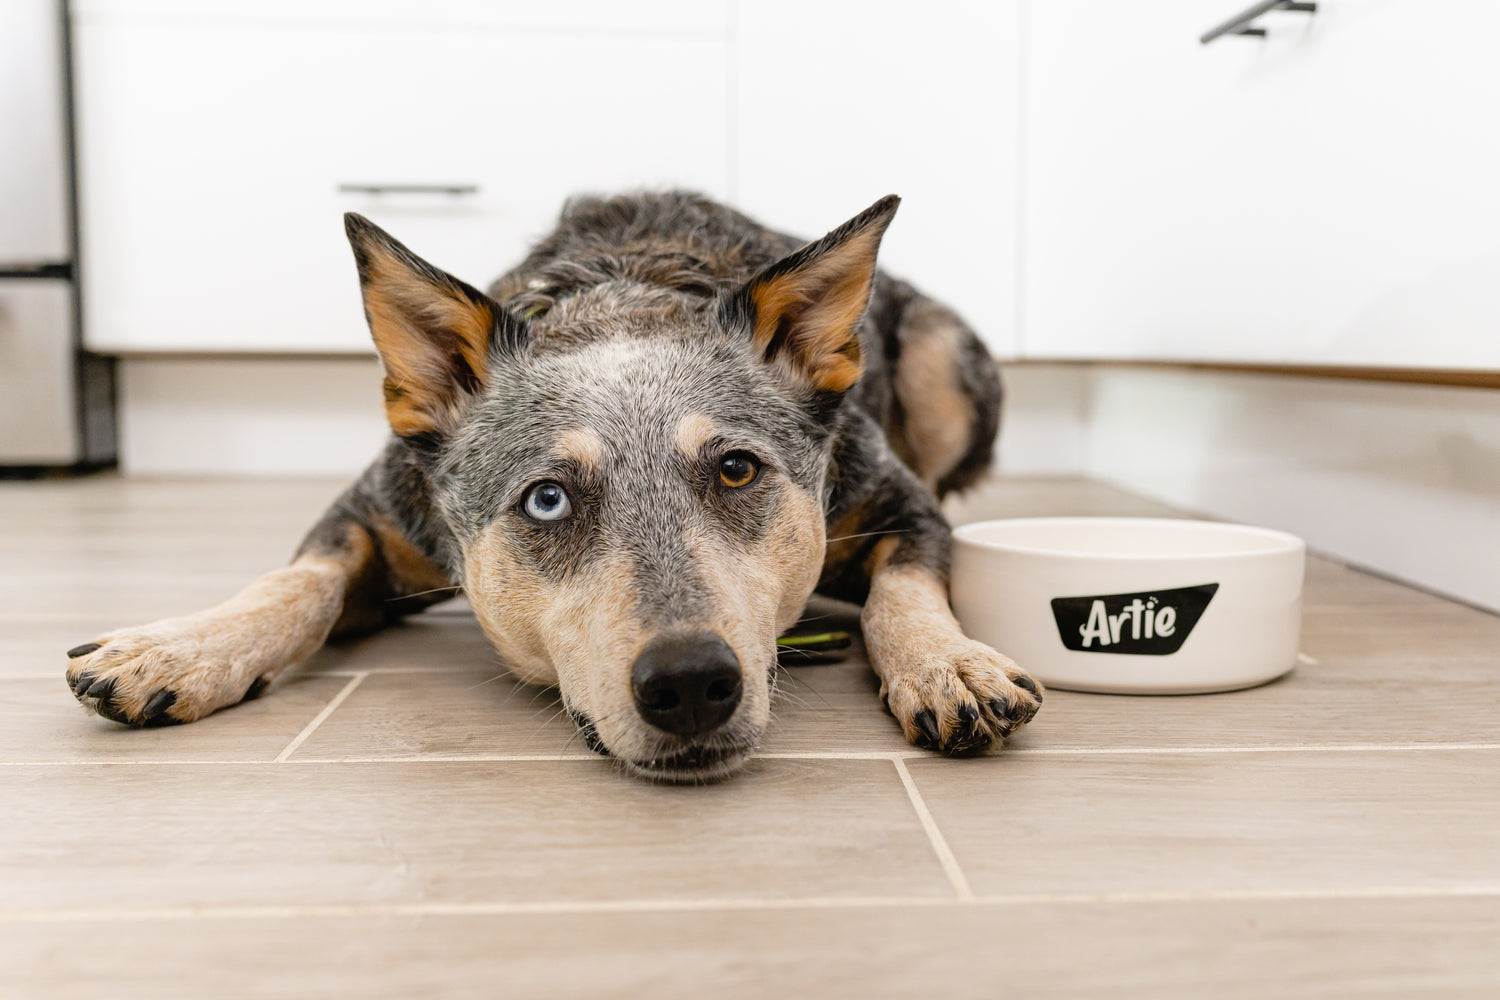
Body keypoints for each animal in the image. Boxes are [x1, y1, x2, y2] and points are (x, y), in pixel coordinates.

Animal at [61, 189, 1044, 779]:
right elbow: (296, 582)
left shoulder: (895, 502)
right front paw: (180, 648)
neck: (624, 290)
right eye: (548, 498)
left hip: (947, 367)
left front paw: (948, 662)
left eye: (736, 469)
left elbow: (904, 588)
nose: (691, 681)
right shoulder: (379, 511)